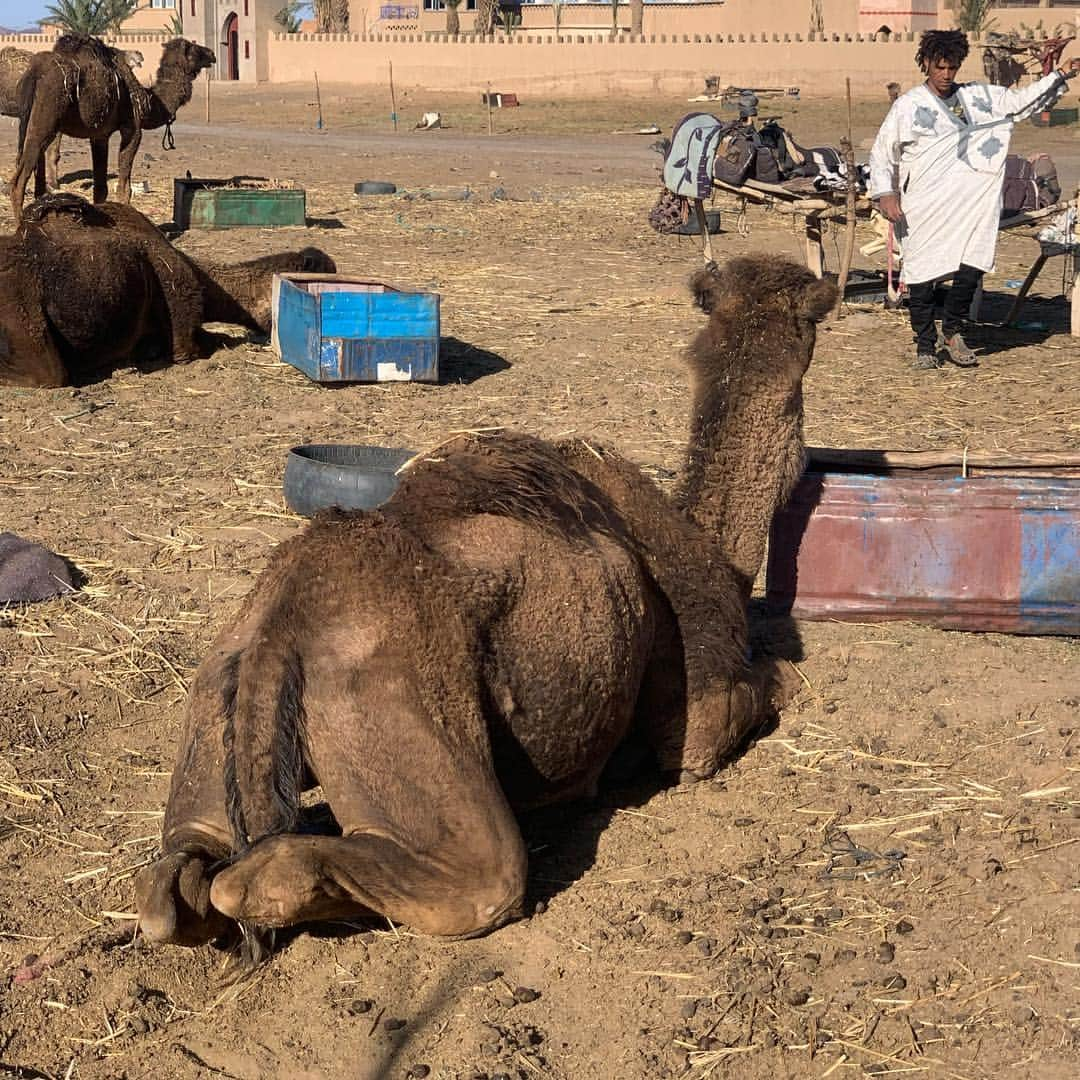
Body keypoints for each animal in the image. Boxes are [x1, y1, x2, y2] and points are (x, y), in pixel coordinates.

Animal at [137, 254, 833, 963]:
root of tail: (279, 630)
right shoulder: (699, 710)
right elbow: (756, 694)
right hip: (390, 698)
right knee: (477, 875)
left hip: (218, 686)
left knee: (180, 875)